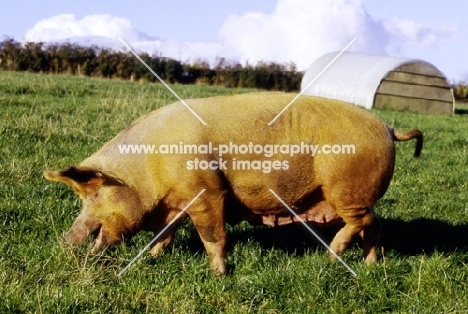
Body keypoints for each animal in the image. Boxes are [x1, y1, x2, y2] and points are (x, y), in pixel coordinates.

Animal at [44, 92, 424, 276]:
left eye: (93, 195)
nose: (64, 241)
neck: (147, 169)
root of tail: (389, 128)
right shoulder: (175, 203)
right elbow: (165, 234)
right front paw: (153, 257)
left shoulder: (207, 191)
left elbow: (212, 235)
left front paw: (219, 275)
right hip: (358, 193)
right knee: (374, 225)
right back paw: (370, 265)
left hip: (345, 187)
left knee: (361, 221)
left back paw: (333, 256)